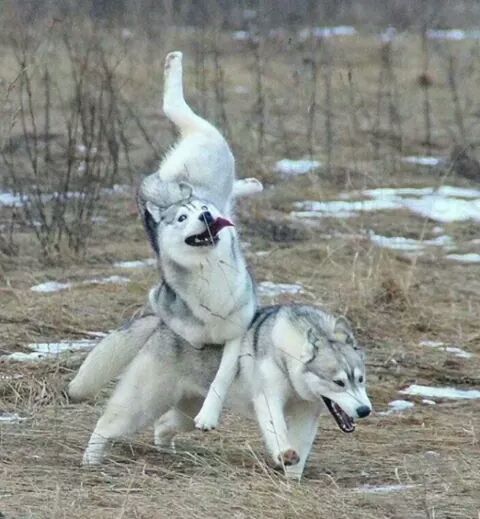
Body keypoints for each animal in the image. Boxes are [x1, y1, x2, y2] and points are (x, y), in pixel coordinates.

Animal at [71, 304, 372, 479]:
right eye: (339, 383)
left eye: (360, 379)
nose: (365, 410)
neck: (288, 354)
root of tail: (162, 321)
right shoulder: (268, 399)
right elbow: (278, 432)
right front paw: (283, 455)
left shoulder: (307, 414)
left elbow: (301, 445)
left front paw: (292, 478)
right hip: (143, 403)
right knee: (105, 424)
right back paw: (90, 461)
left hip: (188, 411)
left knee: (163, 424)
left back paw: (168, 453)